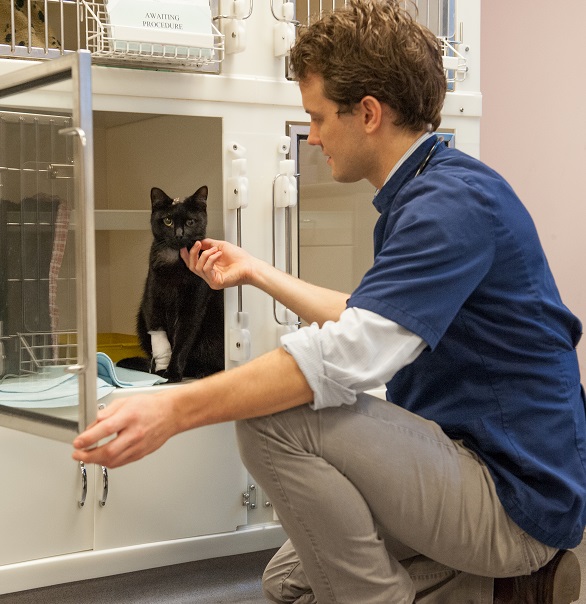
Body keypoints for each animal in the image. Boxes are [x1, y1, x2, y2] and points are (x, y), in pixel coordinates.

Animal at [117, 185, 222, 382]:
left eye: (190, 222)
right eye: (167, 221)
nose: (179, 234)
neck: (175, 264)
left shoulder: (192, 310)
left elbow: (181, 344)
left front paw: (173, 373)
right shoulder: (153, 305)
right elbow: (162, 341)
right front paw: (163, 371)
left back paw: (202, 371)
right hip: (141, 323)